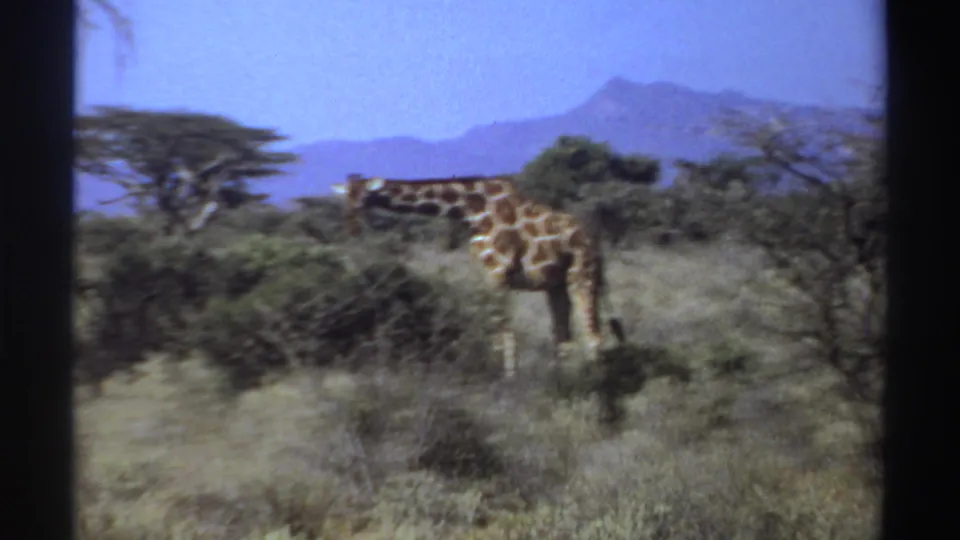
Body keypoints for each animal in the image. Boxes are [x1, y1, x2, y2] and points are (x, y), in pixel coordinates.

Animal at [331, 174, 625, 379]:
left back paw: (594, 387)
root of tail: (595, 243)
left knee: (594, 336)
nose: (351, 228)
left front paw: (508, 381)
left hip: (582, 275)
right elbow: (501, 334)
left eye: (363, 199)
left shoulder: (498, 272)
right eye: (345, 199)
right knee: (565, 339)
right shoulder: (488, 274)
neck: (470, 210)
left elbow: (504, 334)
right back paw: (564, 381)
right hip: (557, 285)